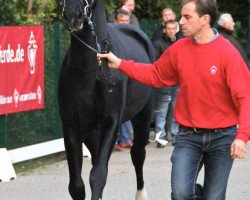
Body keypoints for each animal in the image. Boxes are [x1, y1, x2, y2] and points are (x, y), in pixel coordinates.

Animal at [58, 0, 155, 200]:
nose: (72, 15)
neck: (89, 69)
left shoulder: (111, 123)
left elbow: (98, 175)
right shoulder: (71, 127)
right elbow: (76, 185)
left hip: (143, 117)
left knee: (138, 154)